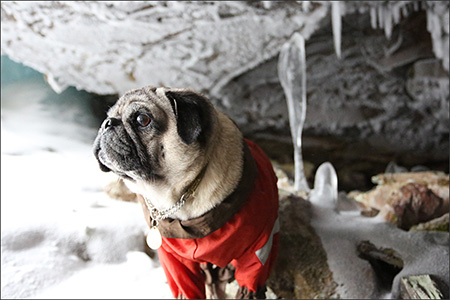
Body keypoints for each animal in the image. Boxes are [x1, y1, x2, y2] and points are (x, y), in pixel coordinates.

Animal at [93, 85, 280, 298]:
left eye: (142, 119)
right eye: (108, 116)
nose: (107, 123)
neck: (178, 196)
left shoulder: (257, 251)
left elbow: (249, 285)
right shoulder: (175, 261)